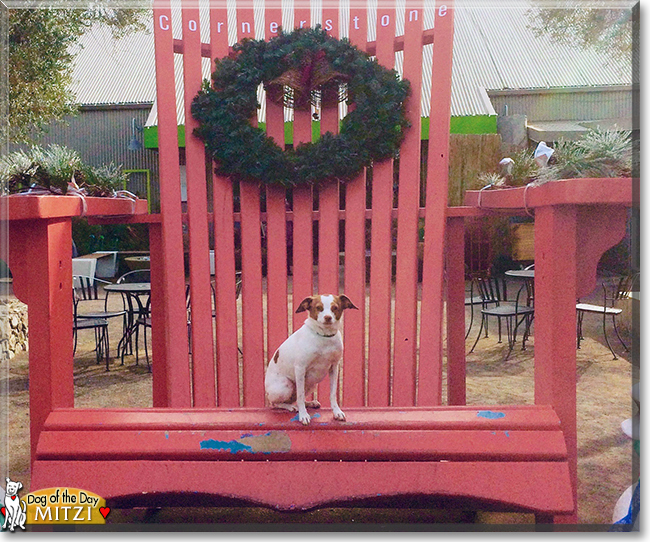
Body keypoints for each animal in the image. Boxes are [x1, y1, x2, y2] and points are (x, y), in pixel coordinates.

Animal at [264, 296, 360, 428]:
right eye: (318, 307)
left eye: (335, 307)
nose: (328, 317)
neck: (324, 337)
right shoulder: (300, 368)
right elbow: (300, 395)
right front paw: (303, 415)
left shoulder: (334, 368)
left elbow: (332, 394)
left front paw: (337, 412)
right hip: (285, 386)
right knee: (276, 403)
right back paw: (291, 407)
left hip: (311, 384)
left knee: (299, 398)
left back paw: (309, 403)